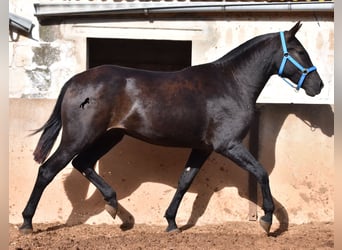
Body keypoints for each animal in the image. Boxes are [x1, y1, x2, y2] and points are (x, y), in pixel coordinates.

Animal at [19, 21, 324, 234]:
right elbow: (261, 172)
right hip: (80, 137)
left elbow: (184, 181)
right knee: (48, 170)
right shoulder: (228, 145)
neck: (231, 83)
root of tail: (75, 81)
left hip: (110, 136)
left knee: (82, 163)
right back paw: (27, 223)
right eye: (299, 51)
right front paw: (267, 219)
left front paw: (171, 223)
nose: (317, 85)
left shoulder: (203, 148)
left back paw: (115, 209)